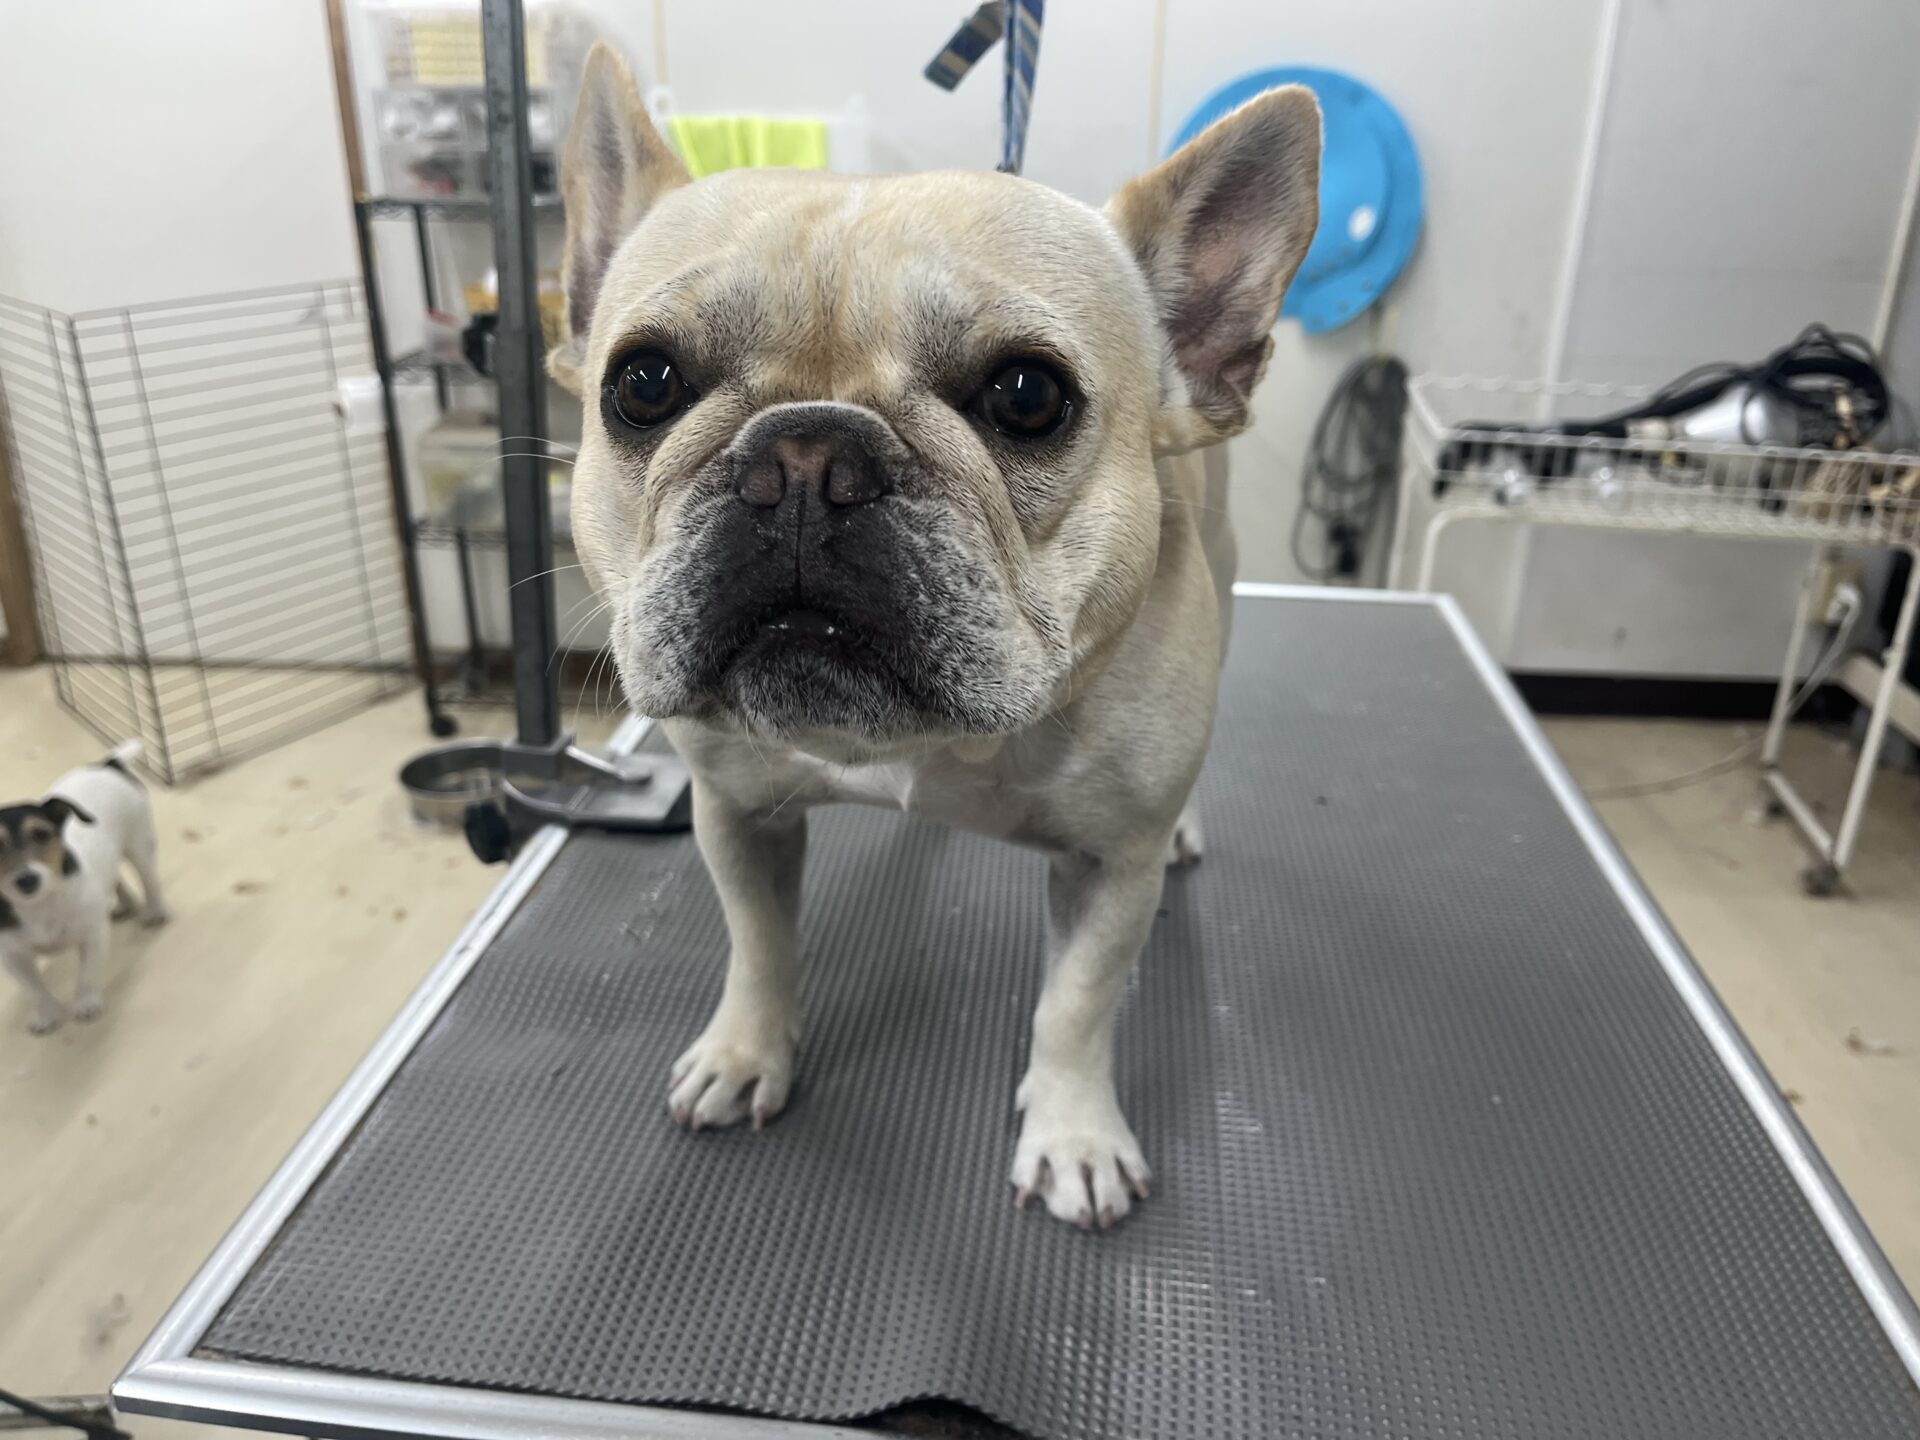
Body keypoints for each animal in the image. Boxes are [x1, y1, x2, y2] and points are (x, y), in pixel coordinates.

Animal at [0, 744, 168, 1034]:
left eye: (41, 835)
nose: (27, 880)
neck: (40, 904)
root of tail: (109, 764)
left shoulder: (93, 936)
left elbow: (88, 974)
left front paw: (86, 1002)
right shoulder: (13, 958)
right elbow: (35, 989)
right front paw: (47, 1014)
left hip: (139, 846)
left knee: (149, 880)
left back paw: (155, 911)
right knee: (115, 879)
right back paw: (124, 904)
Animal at [551, 44, 1319, 1229]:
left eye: (1028, 395)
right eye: (642, 382)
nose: (807, 458)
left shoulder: (1113, 869)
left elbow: (1076, 1008)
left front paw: (1074, 1135)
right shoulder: (735, 815)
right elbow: (757, 946)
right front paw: (745, 1052)